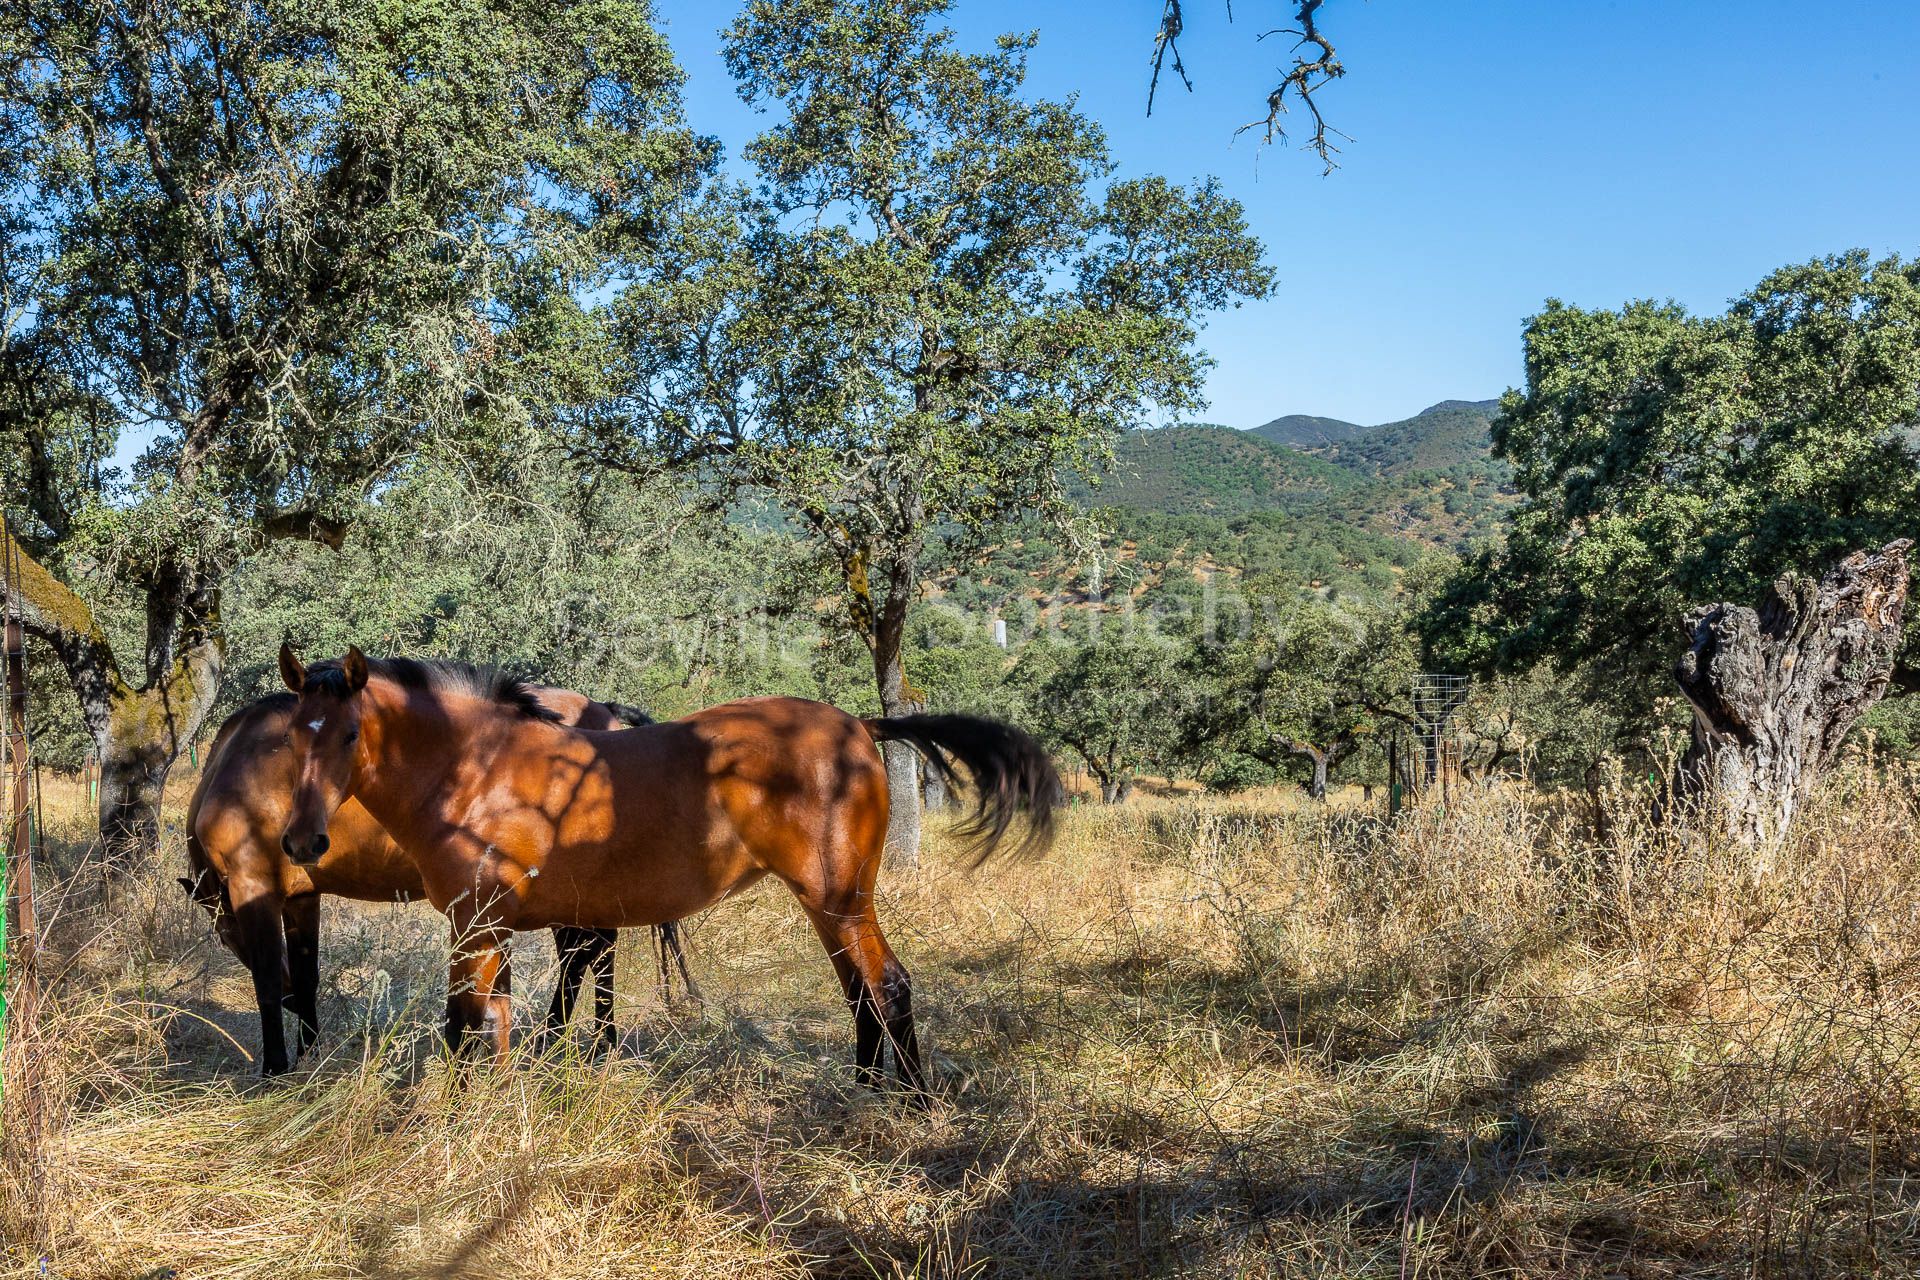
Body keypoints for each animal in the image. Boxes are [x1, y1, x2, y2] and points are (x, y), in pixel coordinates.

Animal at [183, 687, 695, 1074]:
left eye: (226, 936)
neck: (238, 763)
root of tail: (604, 713)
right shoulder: (302, 898)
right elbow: (308, 978)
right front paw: (309, 1054)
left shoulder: (254, 889)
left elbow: (268, 981)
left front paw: (276, 1068)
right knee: (591, 955)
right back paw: (582, 1043)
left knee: (585, 956)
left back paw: (571, 1043)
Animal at [276, 644, 1059, 1097]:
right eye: (290, 737)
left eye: (351, 733)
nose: (302, 841)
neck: (479, 769)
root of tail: (861, 727)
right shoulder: (494, 930)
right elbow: (489, 1021)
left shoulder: (478, 927)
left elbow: (465, 1023)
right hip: (829, 905)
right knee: (860, 990)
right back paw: (864, 1090)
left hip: (839, 899)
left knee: (888, 985)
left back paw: (914, 1104)